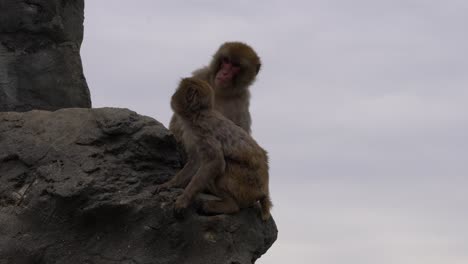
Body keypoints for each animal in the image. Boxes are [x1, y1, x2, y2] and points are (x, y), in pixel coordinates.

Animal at [158, 77, 270, 221]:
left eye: (178, 90)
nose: (173, 95)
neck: (197, 115)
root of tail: (263, 192)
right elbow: (196, 161)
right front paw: (170, 184)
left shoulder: (203, 132)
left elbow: (215, 162)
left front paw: (183, 200)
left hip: (247, 186)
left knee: (224, 167)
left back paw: (230, 205)